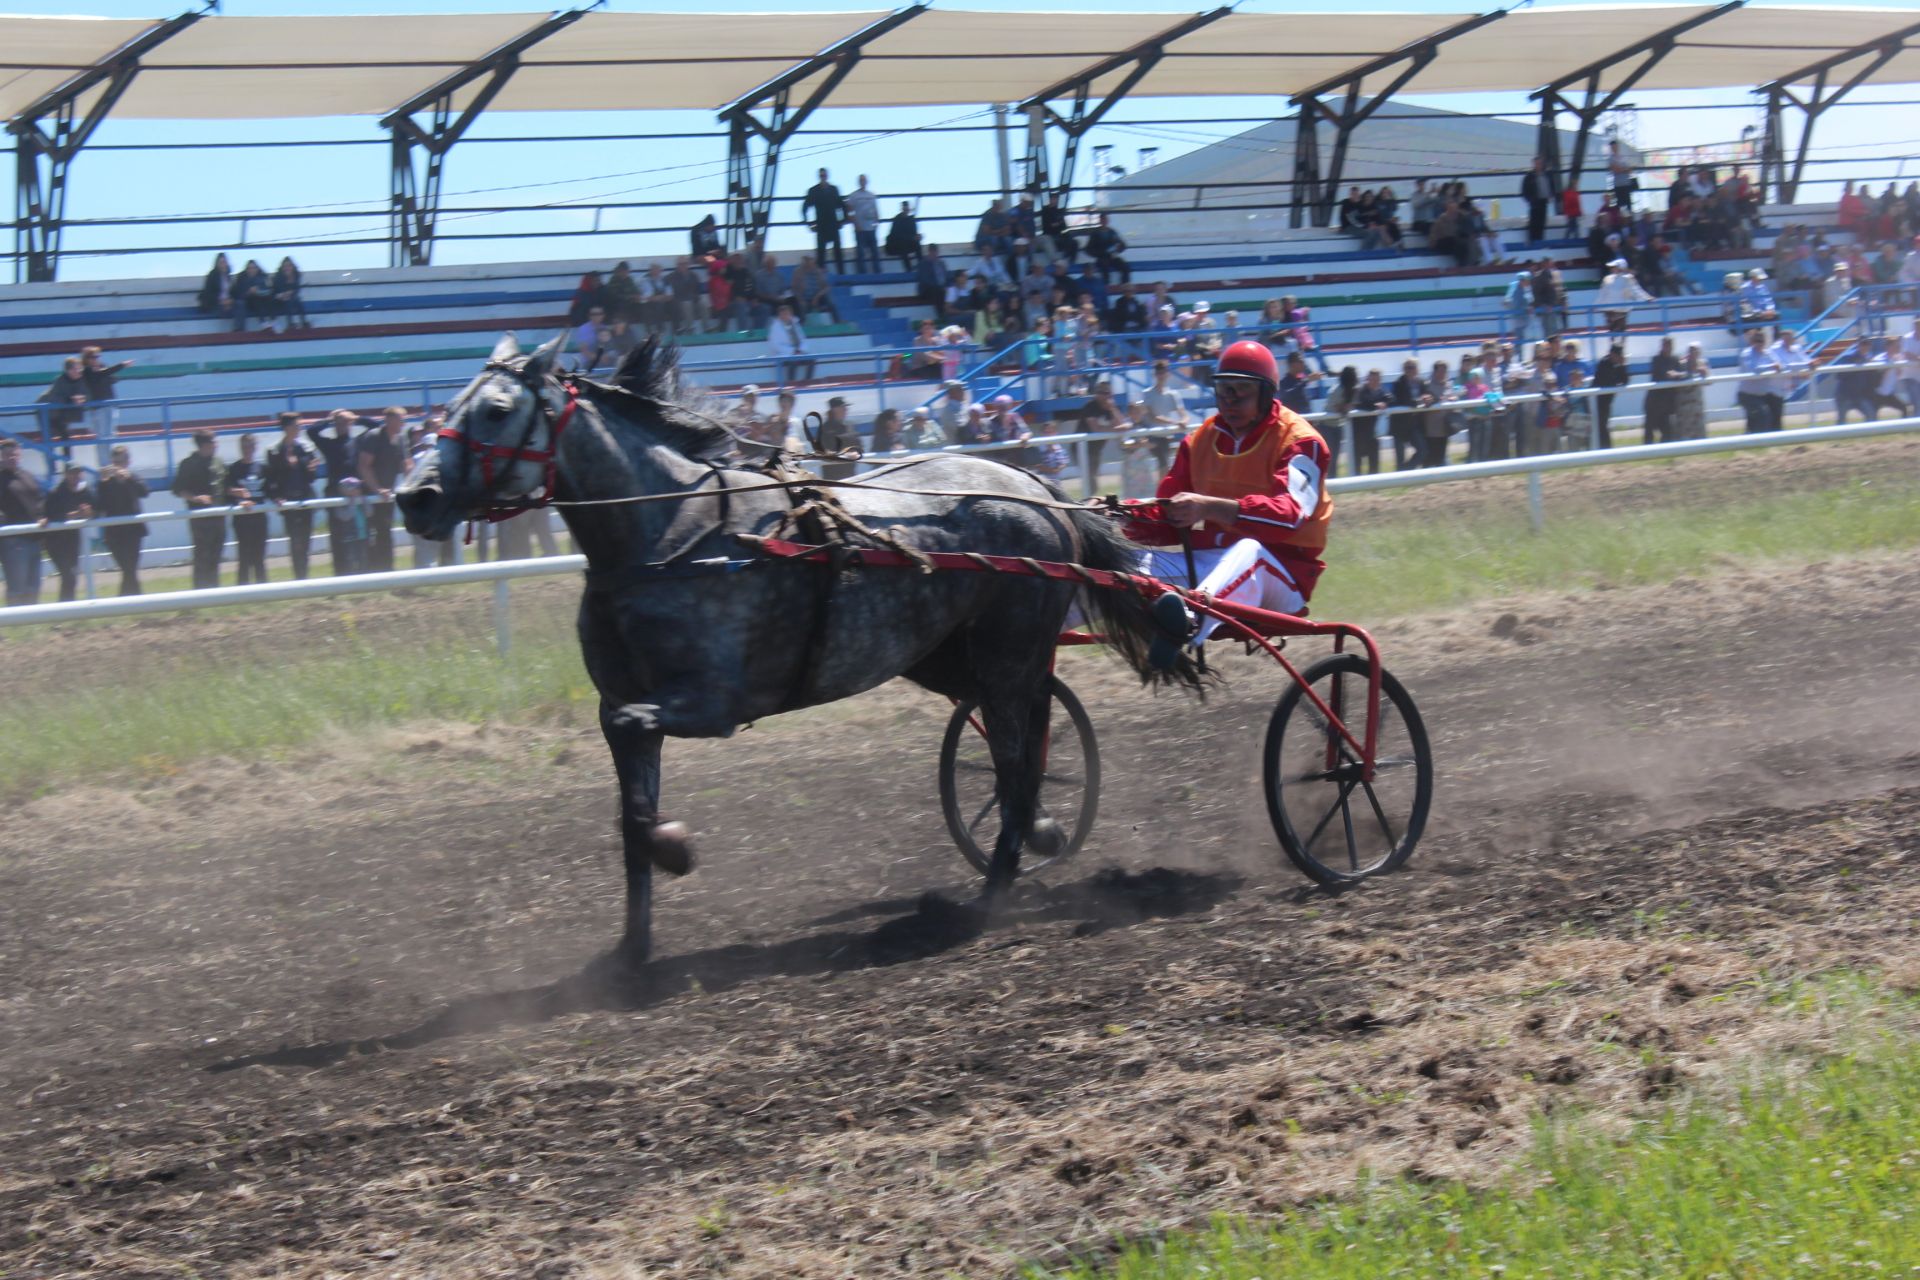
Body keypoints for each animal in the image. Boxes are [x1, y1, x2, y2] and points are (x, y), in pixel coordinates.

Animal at [395, 335, 1190, 974]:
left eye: (496, 409)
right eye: (454, 403)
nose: (413, 497)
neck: (671, 535)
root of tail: (1033, 484)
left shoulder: (709, 701)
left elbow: (642, 773)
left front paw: (675, 846)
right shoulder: (619, 706)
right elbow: (628, 813)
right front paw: (631, 950)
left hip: (1007, 654)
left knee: (1018, 766)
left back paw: (989, 894)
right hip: (945, 656)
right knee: (1018, 745)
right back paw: (1035, 839)